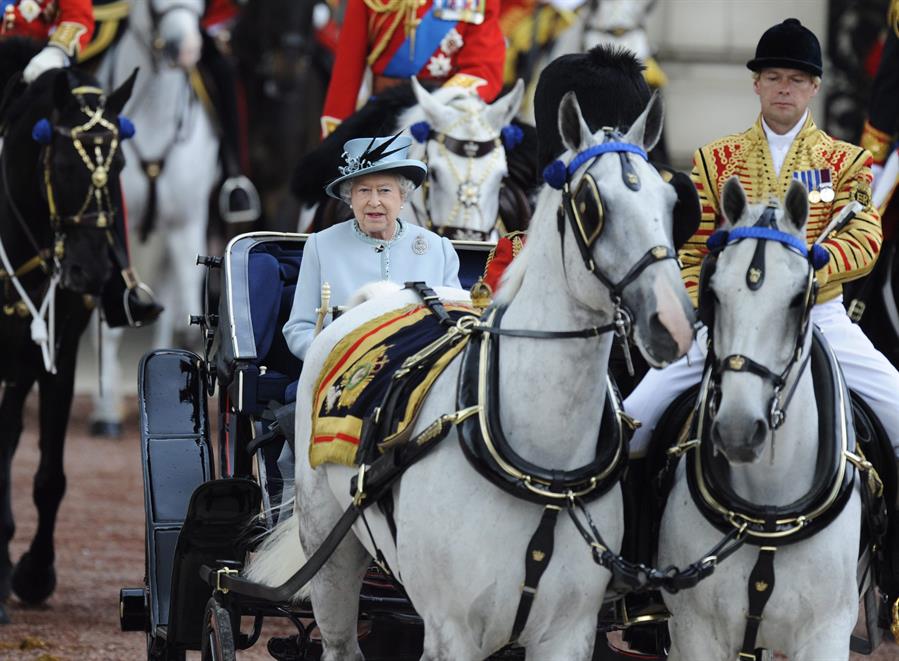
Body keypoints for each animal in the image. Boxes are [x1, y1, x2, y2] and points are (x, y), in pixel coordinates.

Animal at [243, 90, 692, 656]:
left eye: (671, 203)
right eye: (591, 205)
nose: (671, 321)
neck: (538, 461)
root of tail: (384, 296)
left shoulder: (567, 631)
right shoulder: (452, 632)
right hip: (330, 553)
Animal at [660, 177, 864, 660]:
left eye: (796, 300)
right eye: (713, 293)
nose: (737, 430)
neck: (769, 515)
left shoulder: (828, 632)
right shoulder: (695, 630)